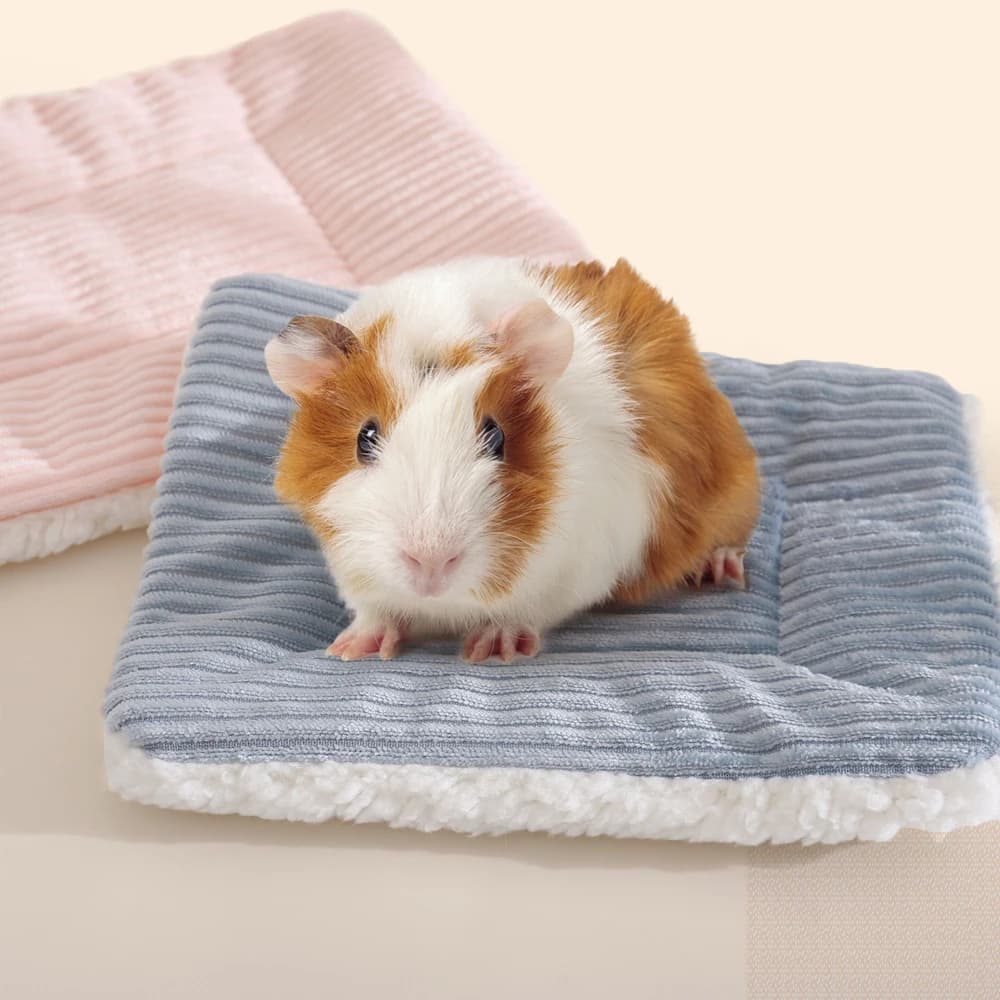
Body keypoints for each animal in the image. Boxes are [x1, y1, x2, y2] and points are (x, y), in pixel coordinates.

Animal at [265, 257, 760, 662]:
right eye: (365, 437)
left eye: (495, 435)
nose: (430, 563)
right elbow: (374, 611)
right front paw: (352, 648)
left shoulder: (577, 567)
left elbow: (526, 610)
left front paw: (493, 648)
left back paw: (721, 571)